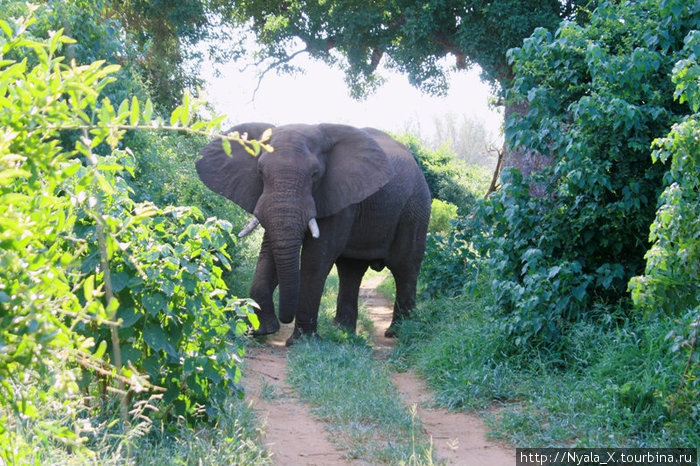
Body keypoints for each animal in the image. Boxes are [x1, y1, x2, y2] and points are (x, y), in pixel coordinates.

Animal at [194, 124, 430, 346]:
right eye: (260, 171)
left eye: (315, 174)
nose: (283, 321)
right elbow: (270, 250)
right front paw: (259, 331)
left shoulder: (340, 198)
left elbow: (316, 256)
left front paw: (301, 342)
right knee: (351, 270)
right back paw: (342, 332)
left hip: (415, 210)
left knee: (404, 268)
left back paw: (396, 332)